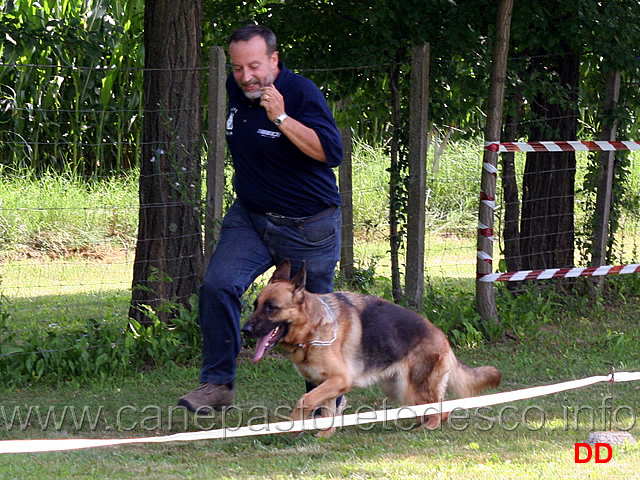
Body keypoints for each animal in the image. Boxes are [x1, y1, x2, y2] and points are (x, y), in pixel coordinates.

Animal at [240, 260, 500, 436]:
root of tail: (442, 337)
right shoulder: (327, 383)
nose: (245, 330)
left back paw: (427, 428)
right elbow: (326, 411)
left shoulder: (339, 380)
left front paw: (294, 424)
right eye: (256, 305)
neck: (312, 328)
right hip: (397, 388)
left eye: (271, 308)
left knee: (441, 408)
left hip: (410, 387)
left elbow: (305, 399)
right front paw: (324, 435)